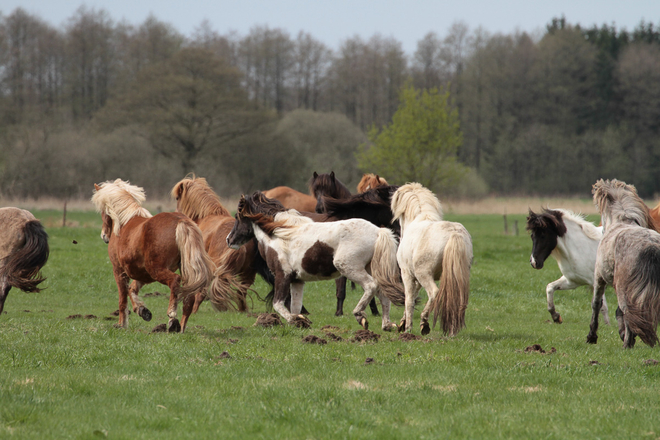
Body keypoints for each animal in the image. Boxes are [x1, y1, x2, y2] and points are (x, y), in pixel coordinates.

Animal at [90, 179, 213, 334]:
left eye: (103, 210)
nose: (104, 236)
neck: (125, 222)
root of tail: (181, 221)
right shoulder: (142, 274)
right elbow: (132, 290)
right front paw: (143, 311)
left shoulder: (119, 270)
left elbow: (122, 298)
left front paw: (122, 324)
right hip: (182, 270)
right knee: (188, 300)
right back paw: (180, 328)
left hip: (157, 270)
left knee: (175, 281)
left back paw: (172, 318)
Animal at [224, 192, 404, 330]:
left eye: (237, 216)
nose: (229, 240)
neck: (280, 233)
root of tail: (378, 231)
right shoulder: (297, 281)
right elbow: (295, 306)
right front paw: (301, 322)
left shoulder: (283, 276)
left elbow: (278, 304)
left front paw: (295, 321)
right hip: (371, 268)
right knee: (382, 291)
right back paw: (388, 325)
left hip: (349, 267)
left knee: (371, 285)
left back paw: (360, 316)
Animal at [390, 183, 472, 336]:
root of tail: (454, 233)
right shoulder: (416, 278)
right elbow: (413, 296)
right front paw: (403, 323)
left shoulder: (407, 274)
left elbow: (409, 299)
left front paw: (407, 328)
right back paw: (452, 331)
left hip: (424, 274)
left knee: (434, 293)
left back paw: (424, 323)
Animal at [588, 178, 660, 348]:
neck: (622, 221)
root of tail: (651, 246)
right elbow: (617, 312)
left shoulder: (599, 277)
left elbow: (596, 304)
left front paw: (592, 336)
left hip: (622, 288)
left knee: (628, 311)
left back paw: (627, 344)